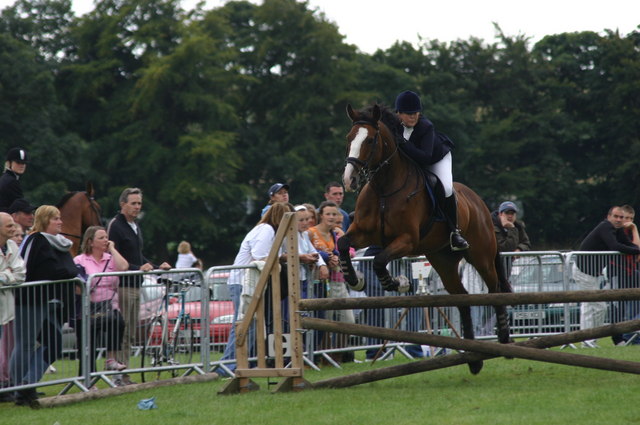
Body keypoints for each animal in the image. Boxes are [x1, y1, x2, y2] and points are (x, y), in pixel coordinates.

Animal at [338, 103, 512, 374]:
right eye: (349, 138)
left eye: (370, 140)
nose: (350, 180)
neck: (384, 189)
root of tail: (480, 203)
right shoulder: (363, 234)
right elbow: (343, 244)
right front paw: (355, 280)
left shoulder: (406, 240)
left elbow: (379, 261)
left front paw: (398, 283)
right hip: (443, 261)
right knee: (462, 299)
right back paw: (474, 358)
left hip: (481, 255)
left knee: (494, 289)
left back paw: (503, 338)